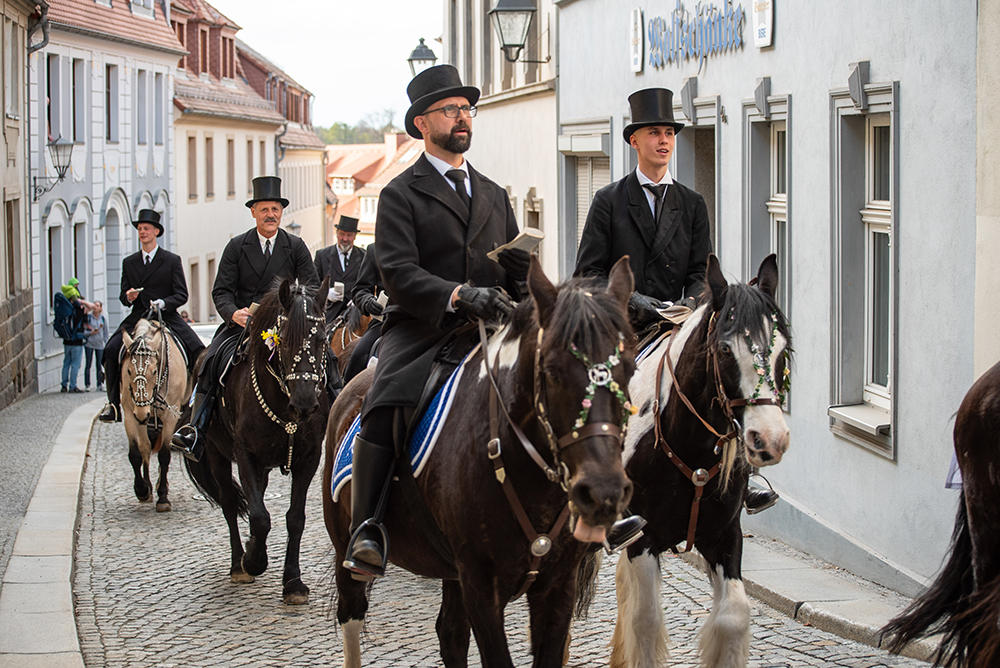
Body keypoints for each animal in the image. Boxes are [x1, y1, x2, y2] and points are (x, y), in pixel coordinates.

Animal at [120, 316, 197, 512]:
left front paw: (163, 496)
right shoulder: (130, 415)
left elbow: (164, 455)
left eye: (154, 371)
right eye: (129, 371)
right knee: (146, 447)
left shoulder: (170, 417)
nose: (142, 413)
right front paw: (142, 489)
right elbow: (136, 453)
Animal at [183, 277, 331, 605]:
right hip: (216, 454)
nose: (305, 405)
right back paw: (239, 563)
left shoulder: (308, 459)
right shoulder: (245, 455)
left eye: (321, 340)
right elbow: (260, 516)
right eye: (283, 341)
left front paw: (293, 582)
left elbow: (295, 518)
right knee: (229, 502)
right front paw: (253, 560)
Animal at [323, 257, 637, 668]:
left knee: (450, 634)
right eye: (551, 371)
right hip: (347, 549)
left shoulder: (556, 585)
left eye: (630, 370)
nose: (602, 494)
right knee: (352, 617)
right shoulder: (481, 586)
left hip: (452, 572)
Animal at [581, 254, 792, 668]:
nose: (770, 440)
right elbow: (646, 621)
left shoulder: (724, 534)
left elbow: (733, 617)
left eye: (781, 350)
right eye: (725, 350)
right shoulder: (643, 538)